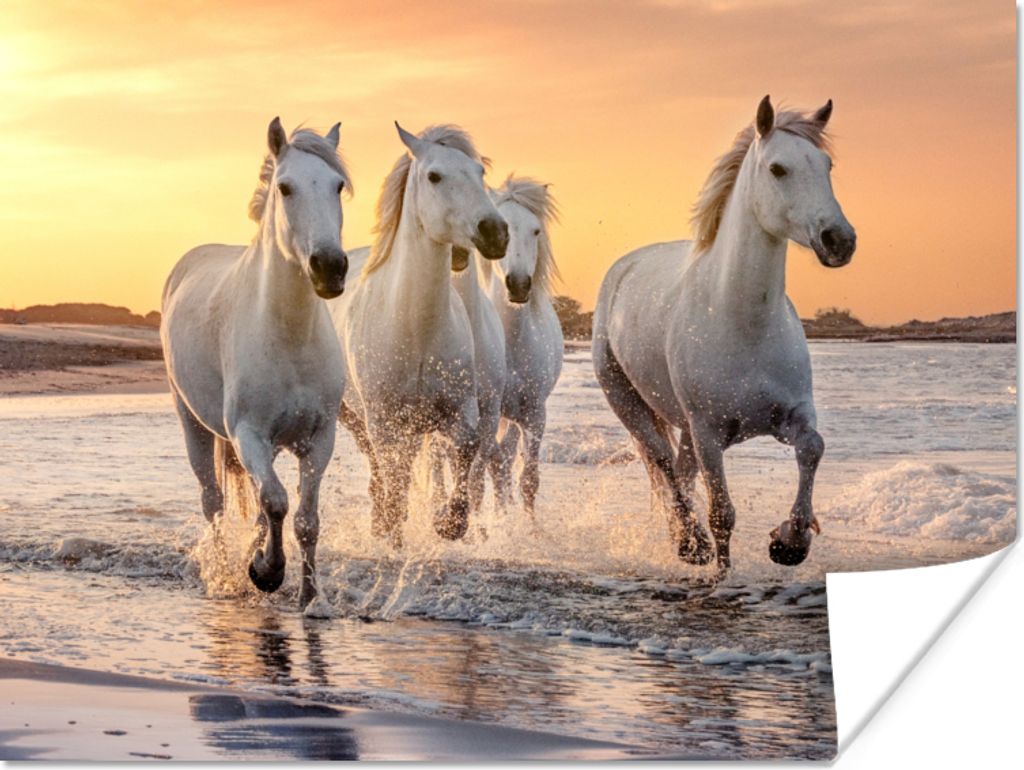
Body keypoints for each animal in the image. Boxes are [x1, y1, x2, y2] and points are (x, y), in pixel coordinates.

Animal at [161, 118, 351, 609]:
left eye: (338, 186)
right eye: (285, 187)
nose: (329, 267)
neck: (288, 335)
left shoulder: (319, 438)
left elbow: (304, 518)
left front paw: (309, 597)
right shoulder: (248, 434)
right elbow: (278, 502)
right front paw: (266, 572)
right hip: (193, 423)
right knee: (214, 502)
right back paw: (228, 573)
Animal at [328, 123, 508, 548]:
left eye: (480, 172)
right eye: (434, 176)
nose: (495, 232)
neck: (416, 330)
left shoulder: (461, 410)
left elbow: (467, 450)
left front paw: (449, 523)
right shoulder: (383, 420)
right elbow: (394, 479)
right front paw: (394, 532)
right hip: (357, 418)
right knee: (382, 471)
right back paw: (382, 526)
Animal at [592, 96, 856, 571]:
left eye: (826, 164)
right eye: (777, 168)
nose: (839, 240)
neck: (743, 323)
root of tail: (622, 268)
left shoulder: (791, 415)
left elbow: (813, 448)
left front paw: (790, 541)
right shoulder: (709, 433)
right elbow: (722, 514)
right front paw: (723, 570)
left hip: (684, 429)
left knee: (679, 472)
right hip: (629, 402)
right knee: (663, 464)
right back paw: (690, 543)